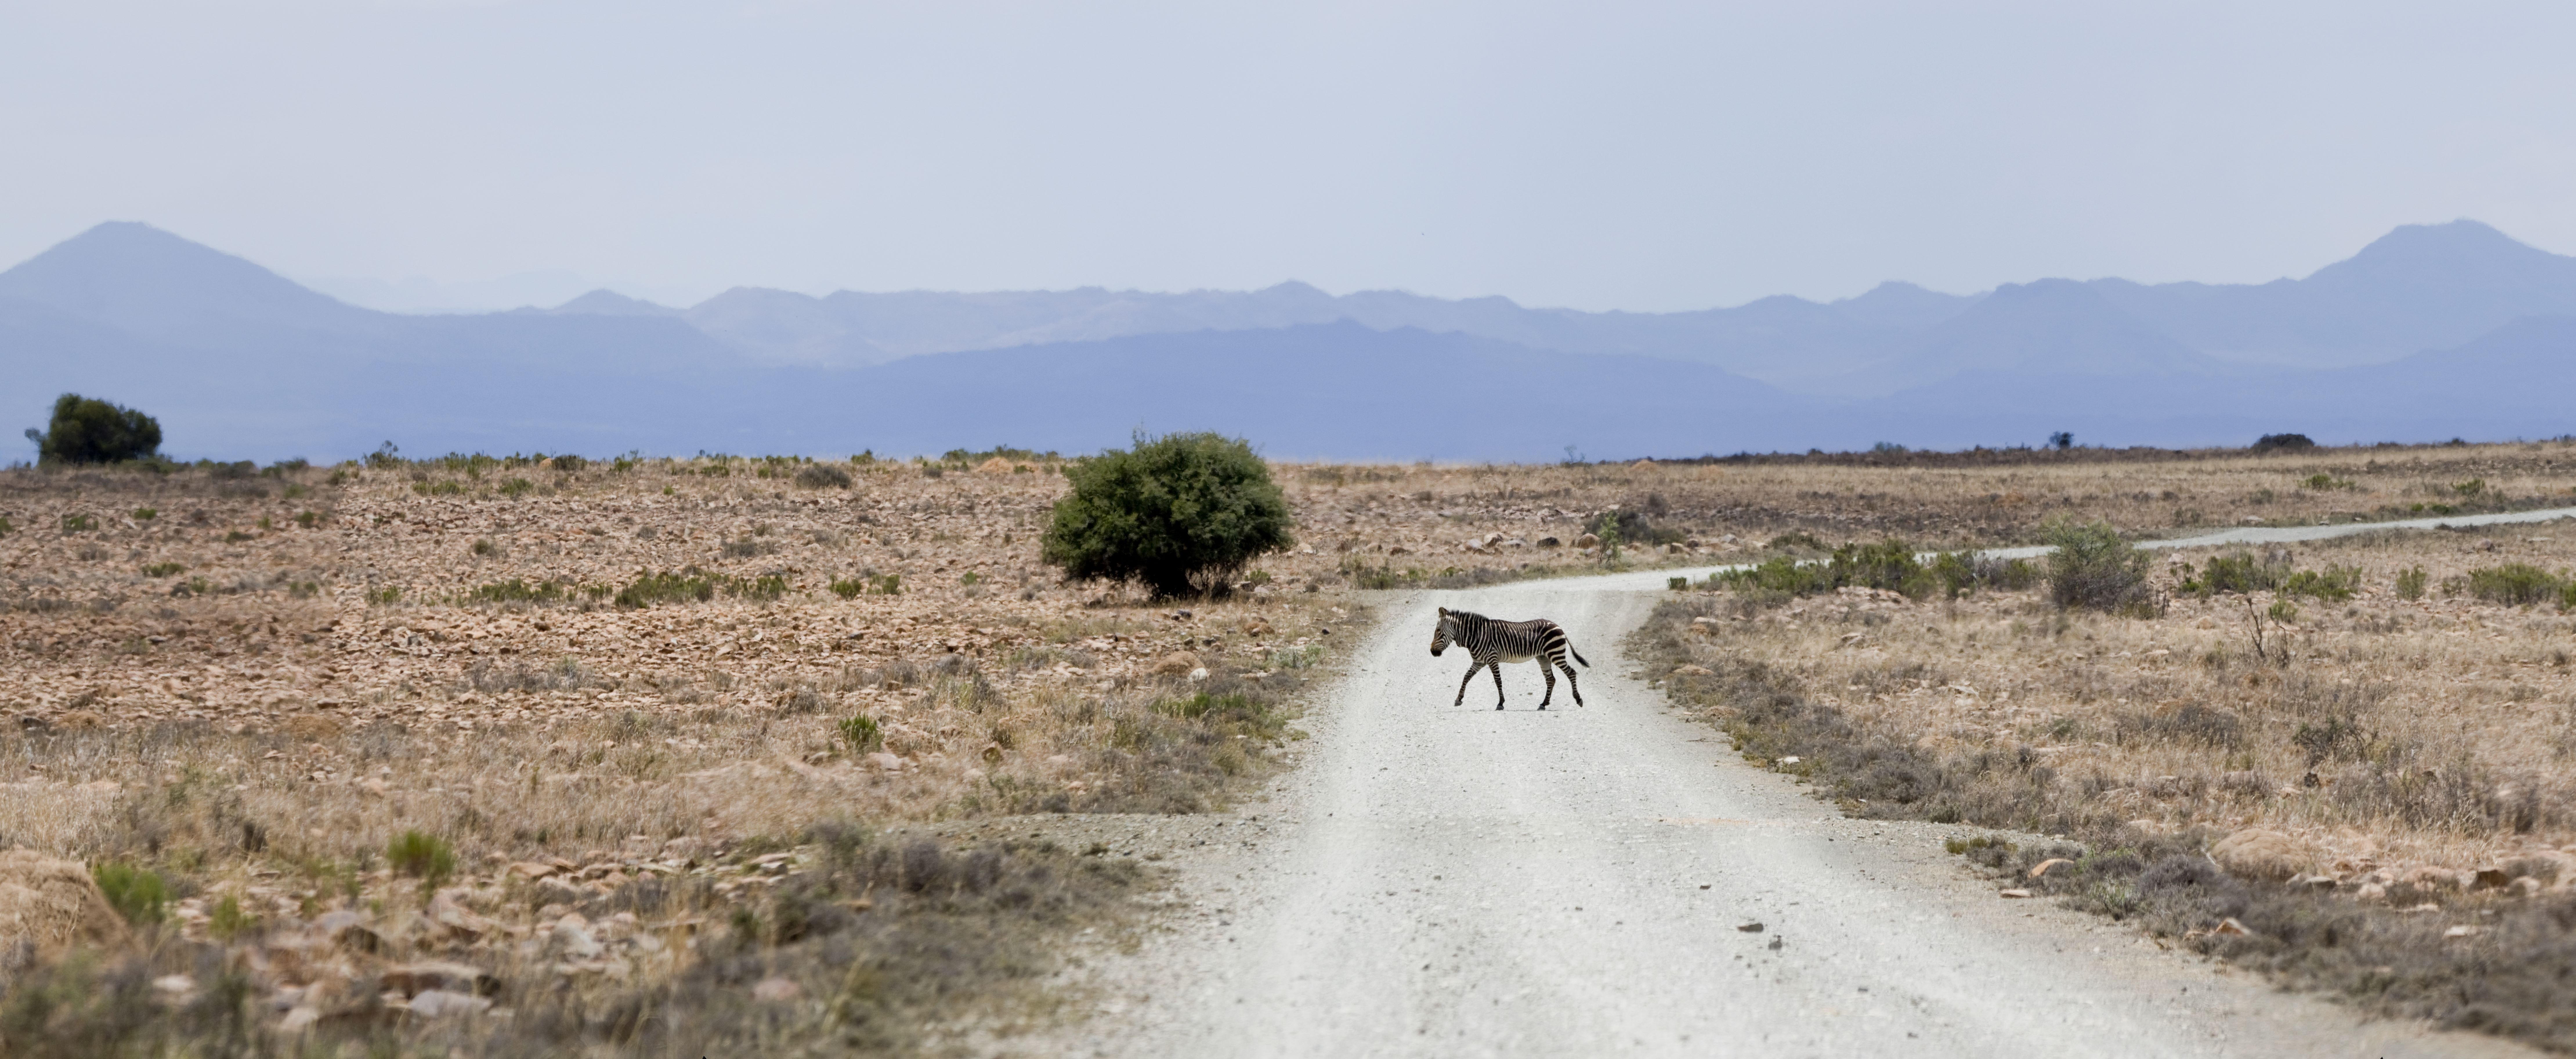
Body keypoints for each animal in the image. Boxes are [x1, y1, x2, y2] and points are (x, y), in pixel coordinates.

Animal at [1429, 606, 1589, 710]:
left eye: (1438, 631)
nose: (1432, 652)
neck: (1476, 635)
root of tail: (1559, 627)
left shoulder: (1492, 659)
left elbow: (1498, 682)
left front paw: (1501, 703)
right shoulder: (1479, 662)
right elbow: (1466, 677)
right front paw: (1459, 699)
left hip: (1555, 654)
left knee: (1571, 673)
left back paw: (1579, 700)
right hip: (1543, 657)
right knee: (1551, 680)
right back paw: (1544, 704)